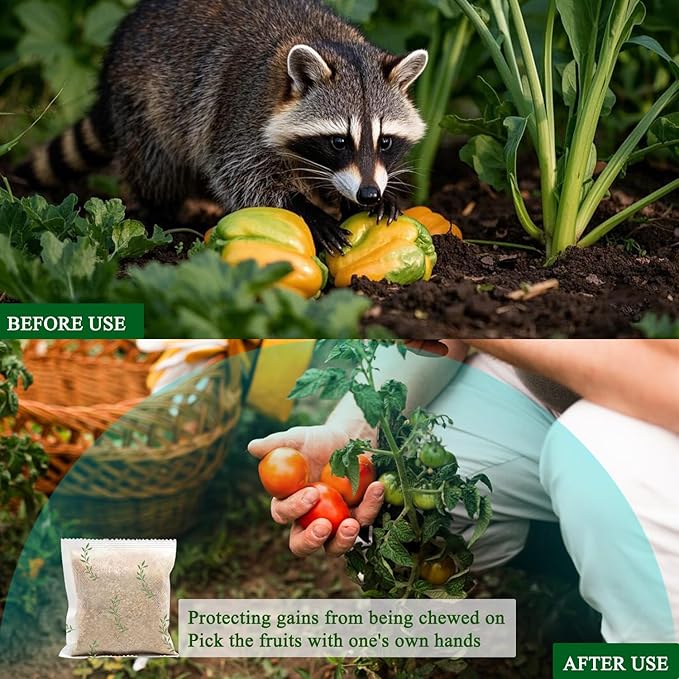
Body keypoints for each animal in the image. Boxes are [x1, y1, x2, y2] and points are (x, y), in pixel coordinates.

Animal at [17, 0, 429, 254]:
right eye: (340, 141)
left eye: (385, 141)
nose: (368, 194)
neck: (332, 42)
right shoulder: (238, 112)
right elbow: (242, 176)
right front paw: (306, 209)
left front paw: (364, 199)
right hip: (142, 103)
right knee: (156, 166)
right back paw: (162, 216)